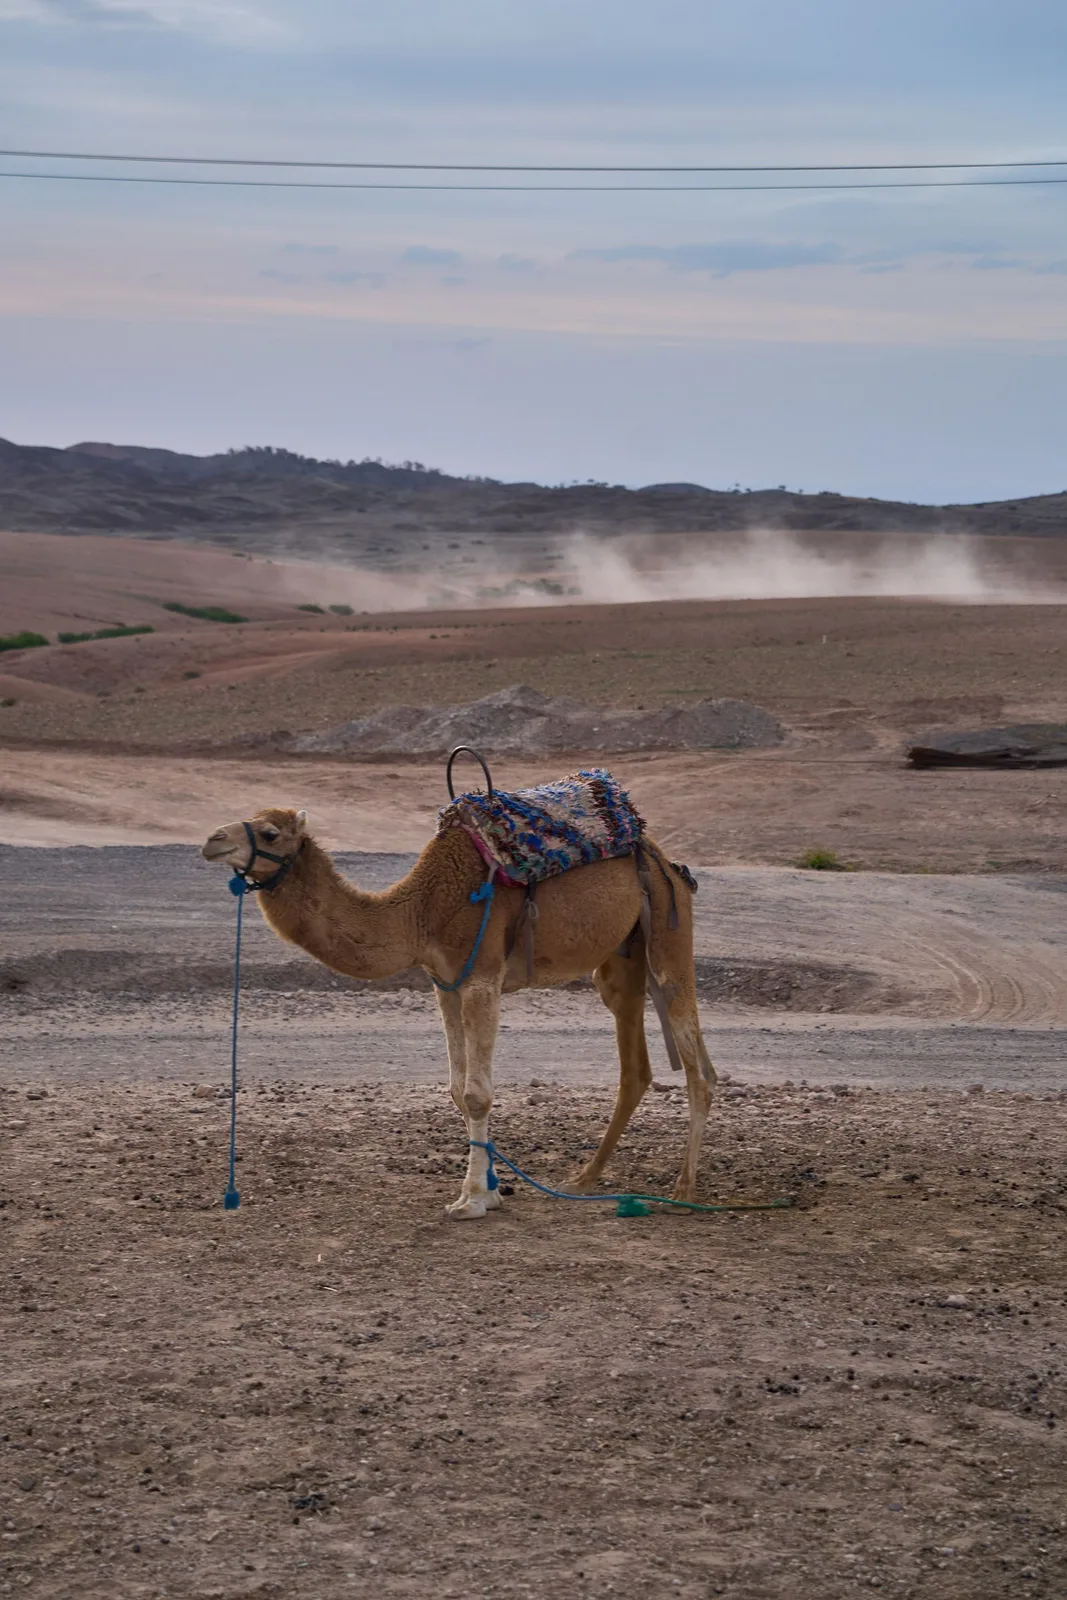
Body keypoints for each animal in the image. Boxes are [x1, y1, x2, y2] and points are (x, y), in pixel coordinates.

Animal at [201, 806, 716, 1219]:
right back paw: (584, 1178)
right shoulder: (444, 984)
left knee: (698, 1067)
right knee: (636, 1068)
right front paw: (491, 1190)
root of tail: (668, 862)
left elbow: (477, 1094)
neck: (421, 911)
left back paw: (684, 1190)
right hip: (619, 959)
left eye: (269, 833)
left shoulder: (481, 979)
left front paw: (470, 1200)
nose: (212, 840)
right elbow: (455, 1089)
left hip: (668, 929)